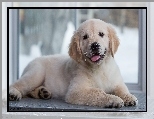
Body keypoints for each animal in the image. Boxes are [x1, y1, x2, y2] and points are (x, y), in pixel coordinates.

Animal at [9, 18, 138, 108]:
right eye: (85, 37)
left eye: (101, 34)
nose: (94, 45)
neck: (100, 68)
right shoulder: (76, 91)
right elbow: (97, 92)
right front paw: (113, 100)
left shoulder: (117, 82)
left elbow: (122, 90)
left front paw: (129, 97)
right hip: (36, 73)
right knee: (19, 85)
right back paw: (13, 93)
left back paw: (42, 92)